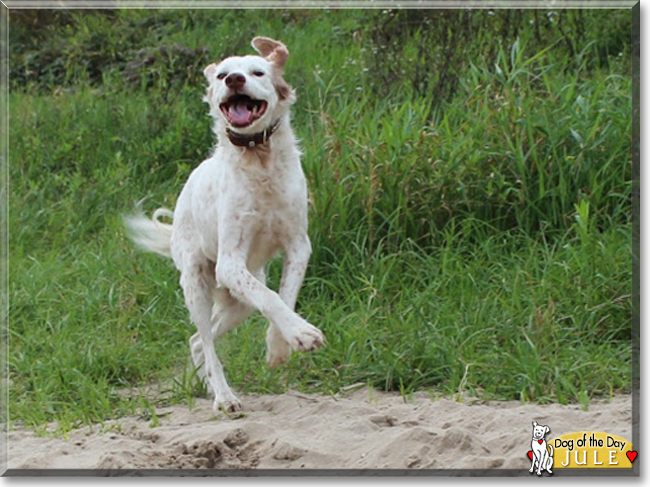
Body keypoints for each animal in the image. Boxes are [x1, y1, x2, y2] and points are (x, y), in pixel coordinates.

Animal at [123, 36, 322, 414]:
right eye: (221, 75)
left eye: (257, 71)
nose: (234, 80)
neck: (258, 158)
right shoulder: (230, 262)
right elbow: (272, 298)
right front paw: (302, 333)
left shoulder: (298, 246)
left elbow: (284, 295)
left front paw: (280, 344)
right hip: (197, 283)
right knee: (203, 336)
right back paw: (224, 397)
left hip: (237, 303)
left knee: (198, 341)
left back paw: (213, 386)